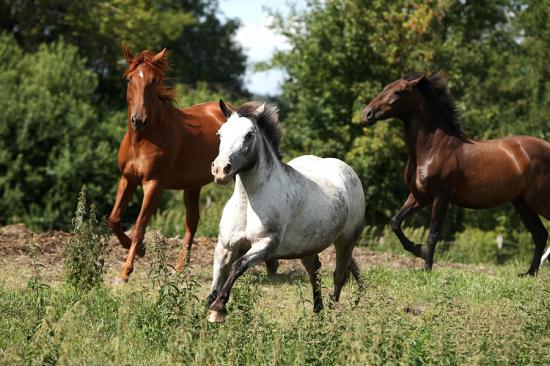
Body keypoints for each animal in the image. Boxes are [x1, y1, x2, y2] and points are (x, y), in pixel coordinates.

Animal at [109, 46, 227, 284]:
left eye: (154, 80)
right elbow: (114, 219)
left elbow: (139, 226)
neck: (143, 140)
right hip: (192, 186)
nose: (139, 120)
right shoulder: (128, 179)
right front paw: (141, 250)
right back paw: (181, 267)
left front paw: (125, 271)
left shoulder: (153, 184)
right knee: (192, 221)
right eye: (129, 79)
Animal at [207, 101, 366, 324]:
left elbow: (239, 266)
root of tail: (349, 172)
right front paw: (209, 309)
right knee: (314, 271)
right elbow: (217, 277)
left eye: (249, 134)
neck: (248, 202)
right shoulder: (225, 246)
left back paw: (331, 316)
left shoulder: (266, 245)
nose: (221, 170)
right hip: (308, 246)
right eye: (220, 133)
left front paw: (219, 308)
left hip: (346, 240)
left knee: (339, 275)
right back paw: (318, 314)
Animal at [366, 73, 550, 276]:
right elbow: (395, 222)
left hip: (539, 200)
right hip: (522, 203)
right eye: (385, 87)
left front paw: (426, 267)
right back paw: (529, 273)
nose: (367, 114)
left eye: (398, 92)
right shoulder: (419, 196)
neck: (433, 148)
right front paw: (418, 250)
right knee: (540, 235)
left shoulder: (441, 198)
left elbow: (433, 234)